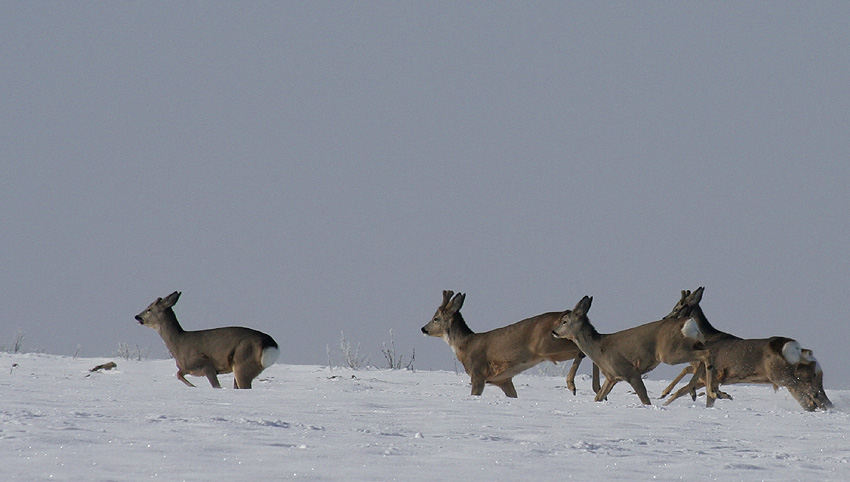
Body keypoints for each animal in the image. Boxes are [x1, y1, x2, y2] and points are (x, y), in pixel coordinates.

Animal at [133, 290, 278, 388]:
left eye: (149, 309)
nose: (137, 316)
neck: (178, 344)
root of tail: (270, 344)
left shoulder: (205, 363)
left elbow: (215, 386)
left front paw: (195, 387)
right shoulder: (189, 368)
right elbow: (179, 374)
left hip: (243, 363)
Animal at [420, 292, 596, 398]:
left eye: (435, 318)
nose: (423, 329)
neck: (464, 345)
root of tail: (566, 314)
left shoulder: (478, 373)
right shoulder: (503, 380)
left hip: (549, 346)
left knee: (582, 349)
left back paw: (573, 385)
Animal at [552, 296, 724, 404]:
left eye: (564, 321)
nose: (554, 331)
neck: (599, 349)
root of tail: (688, 323)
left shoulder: (630, 371)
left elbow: (645, 400)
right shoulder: (612, 377)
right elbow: (598, 398)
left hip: (669, 352)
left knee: (705, 354)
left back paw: (710, 392)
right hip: (692, 345)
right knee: (701, 358)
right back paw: (694, 391)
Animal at [656, 286, 828, 410]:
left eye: (677, 307)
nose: (664, 318)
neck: (707, 337)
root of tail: (794, 346)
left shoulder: (708, 373)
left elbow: (693, 389)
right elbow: (686, 387)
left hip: (781, 375)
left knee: (811, 397)